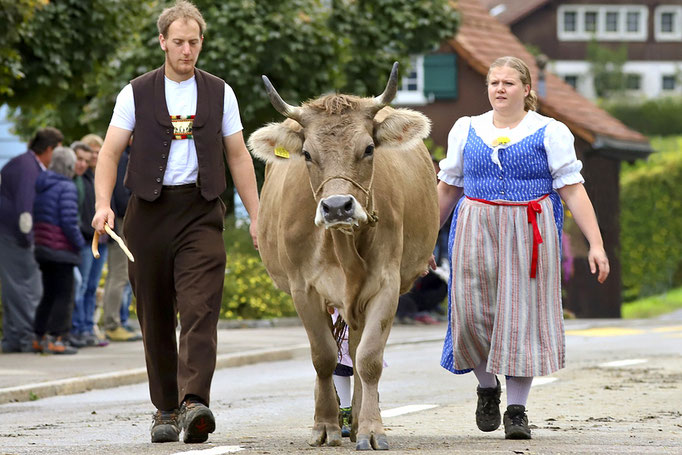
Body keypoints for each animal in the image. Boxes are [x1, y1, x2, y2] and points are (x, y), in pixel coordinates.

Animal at [247, 63, 438, 448]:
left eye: (368, 149)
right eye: (307, 154)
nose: (337, 207)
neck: (343, 245)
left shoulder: (386, 285)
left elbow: (369, 359)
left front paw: (372, 429)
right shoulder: (303, 289)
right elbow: (323, 357)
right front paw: (325, 426)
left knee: (359, 351)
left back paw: (361, 418)